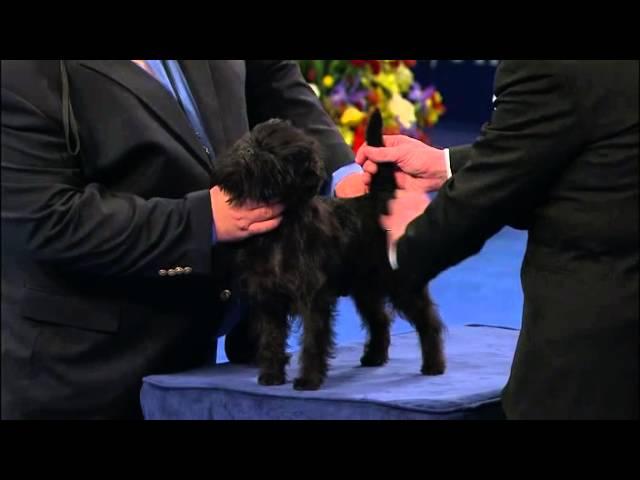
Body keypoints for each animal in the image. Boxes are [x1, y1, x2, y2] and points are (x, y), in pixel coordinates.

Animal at [215, 112, 444, 390]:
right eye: (248, 142)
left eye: (271, 152)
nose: (247, 150)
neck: (281, 231)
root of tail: (377, 201)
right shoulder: (269, 299)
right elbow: (271, 339)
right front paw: (271, 375)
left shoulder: (313, 298)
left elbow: (312, 341)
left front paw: (308, 380)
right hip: (365, 288)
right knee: (380, 320)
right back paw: (374, 357)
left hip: (398, 283)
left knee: (427, 319)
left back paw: (433, 365)